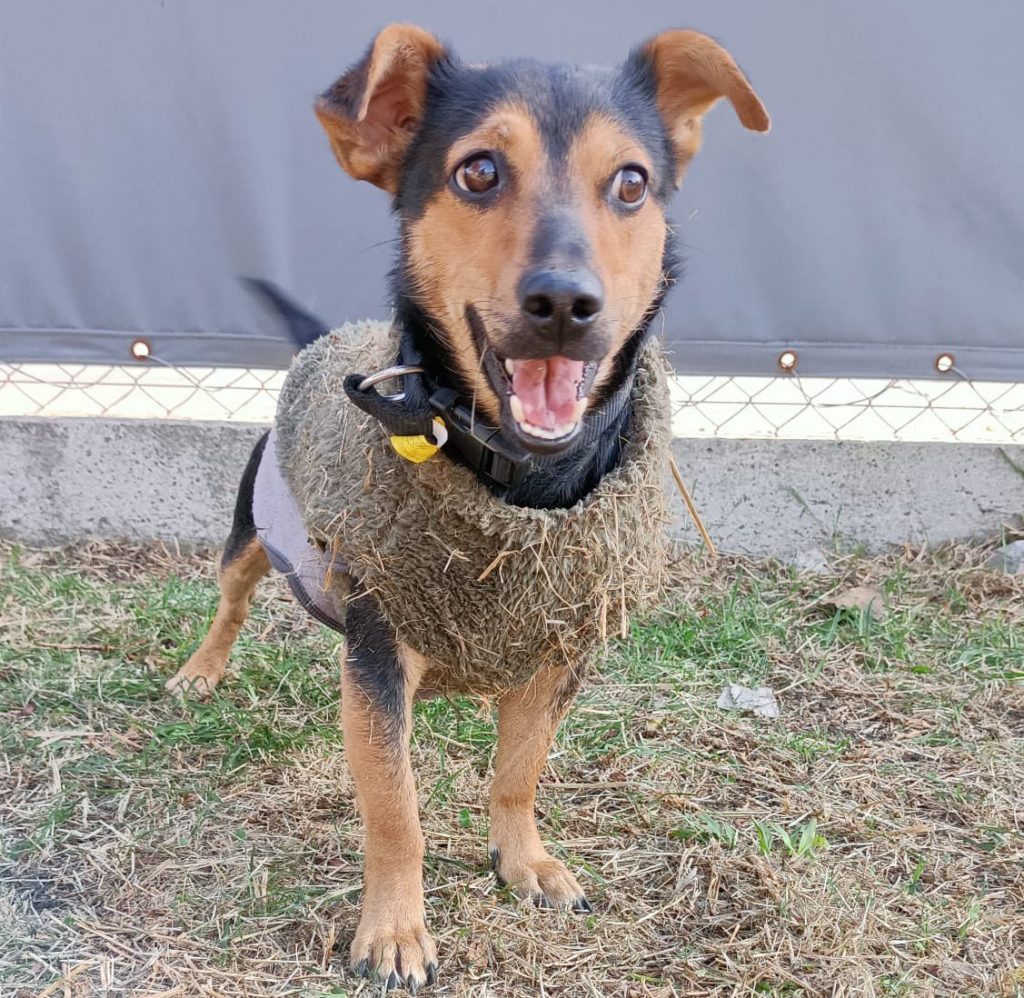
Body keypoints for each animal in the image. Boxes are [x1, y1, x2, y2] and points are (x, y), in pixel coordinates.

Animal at [163, 23, 765, 990]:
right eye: (478, 171)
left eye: (632, 183)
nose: (565, 303)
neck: (523, 477)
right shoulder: (378, 661)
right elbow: (394, 809)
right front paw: (395, 931)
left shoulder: (558, 653)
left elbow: (518, 773)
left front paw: (524, 863)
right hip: (250, 529)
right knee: (232, 599)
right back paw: (200, 669)